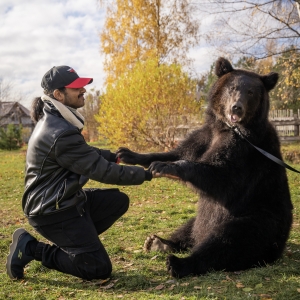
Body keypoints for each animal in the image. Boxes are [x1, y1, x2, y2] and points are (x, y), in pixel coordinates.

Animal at [115, 57, 292, 278]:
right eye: (232, 88)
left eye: (251, 92)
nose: (236, 108)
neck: (227, 128)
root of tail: (281, 246)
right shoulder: (204, 136)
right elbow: (179, 151)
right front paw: (128, 154)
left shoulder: (245, 150)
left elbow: (221, 176)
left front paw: (166, 166)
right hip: (200, 220)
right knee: (189, 228)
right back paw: (159, 242)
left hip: (260, 219)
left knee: (229, 241)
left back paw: (179, 263)